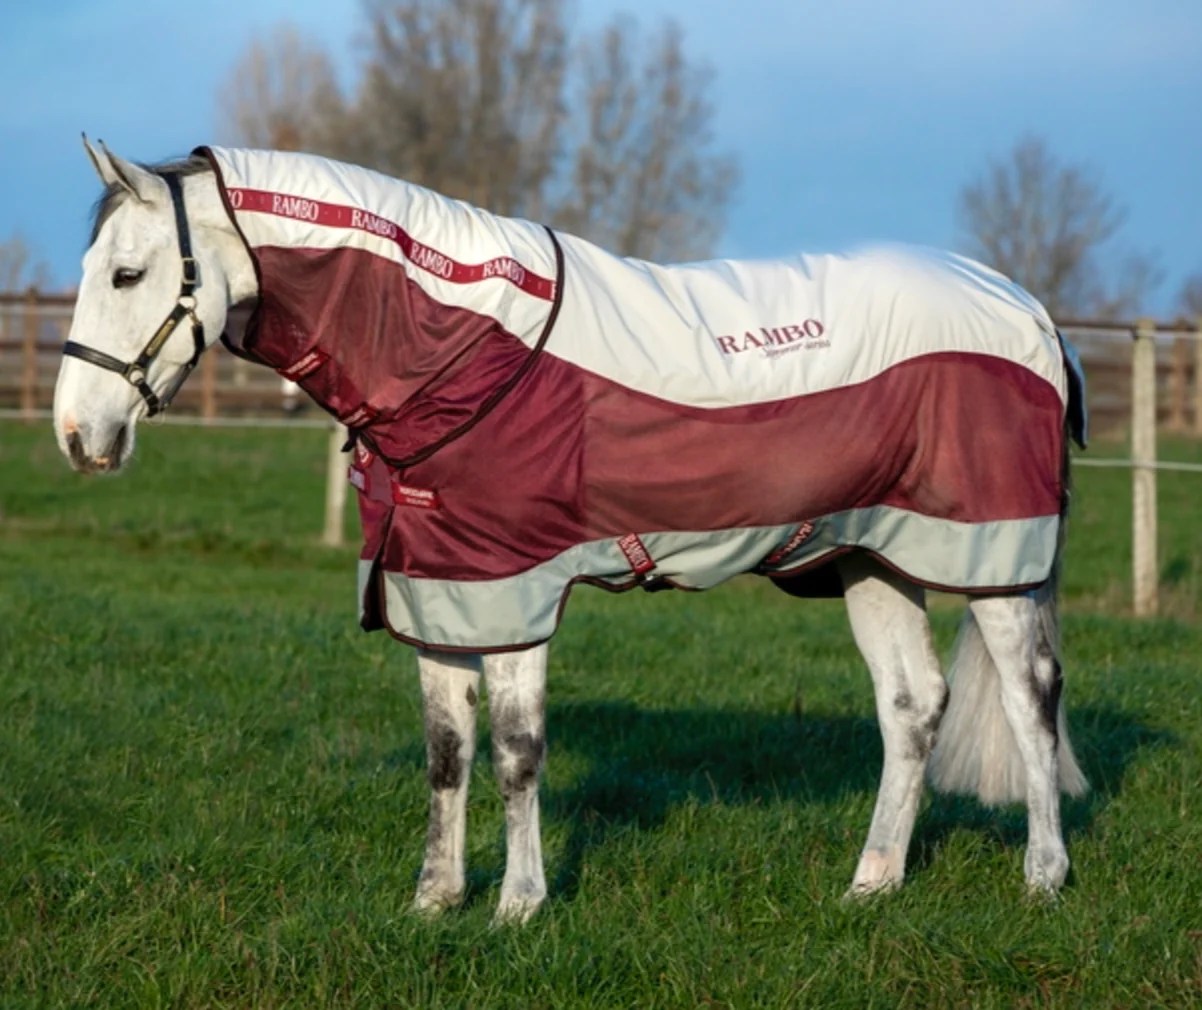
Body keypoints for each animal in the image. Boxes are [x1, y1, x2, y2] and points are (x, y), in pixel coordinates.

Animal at [53, 138, 1088, 924]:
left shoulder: (513, 595)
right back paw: (871, 885)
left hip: (997, 557)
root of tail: (1026, 307)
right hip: (871, 558)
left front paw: (518, 906)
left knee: (1032, 700)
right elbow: (447, 755)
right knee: (912, 707)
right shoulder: (440, 593)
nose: (77, 437)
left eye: (129, 274)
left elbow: (517, 754)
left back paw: (1043, 879)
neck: (463, 351)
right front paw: (435, 902)